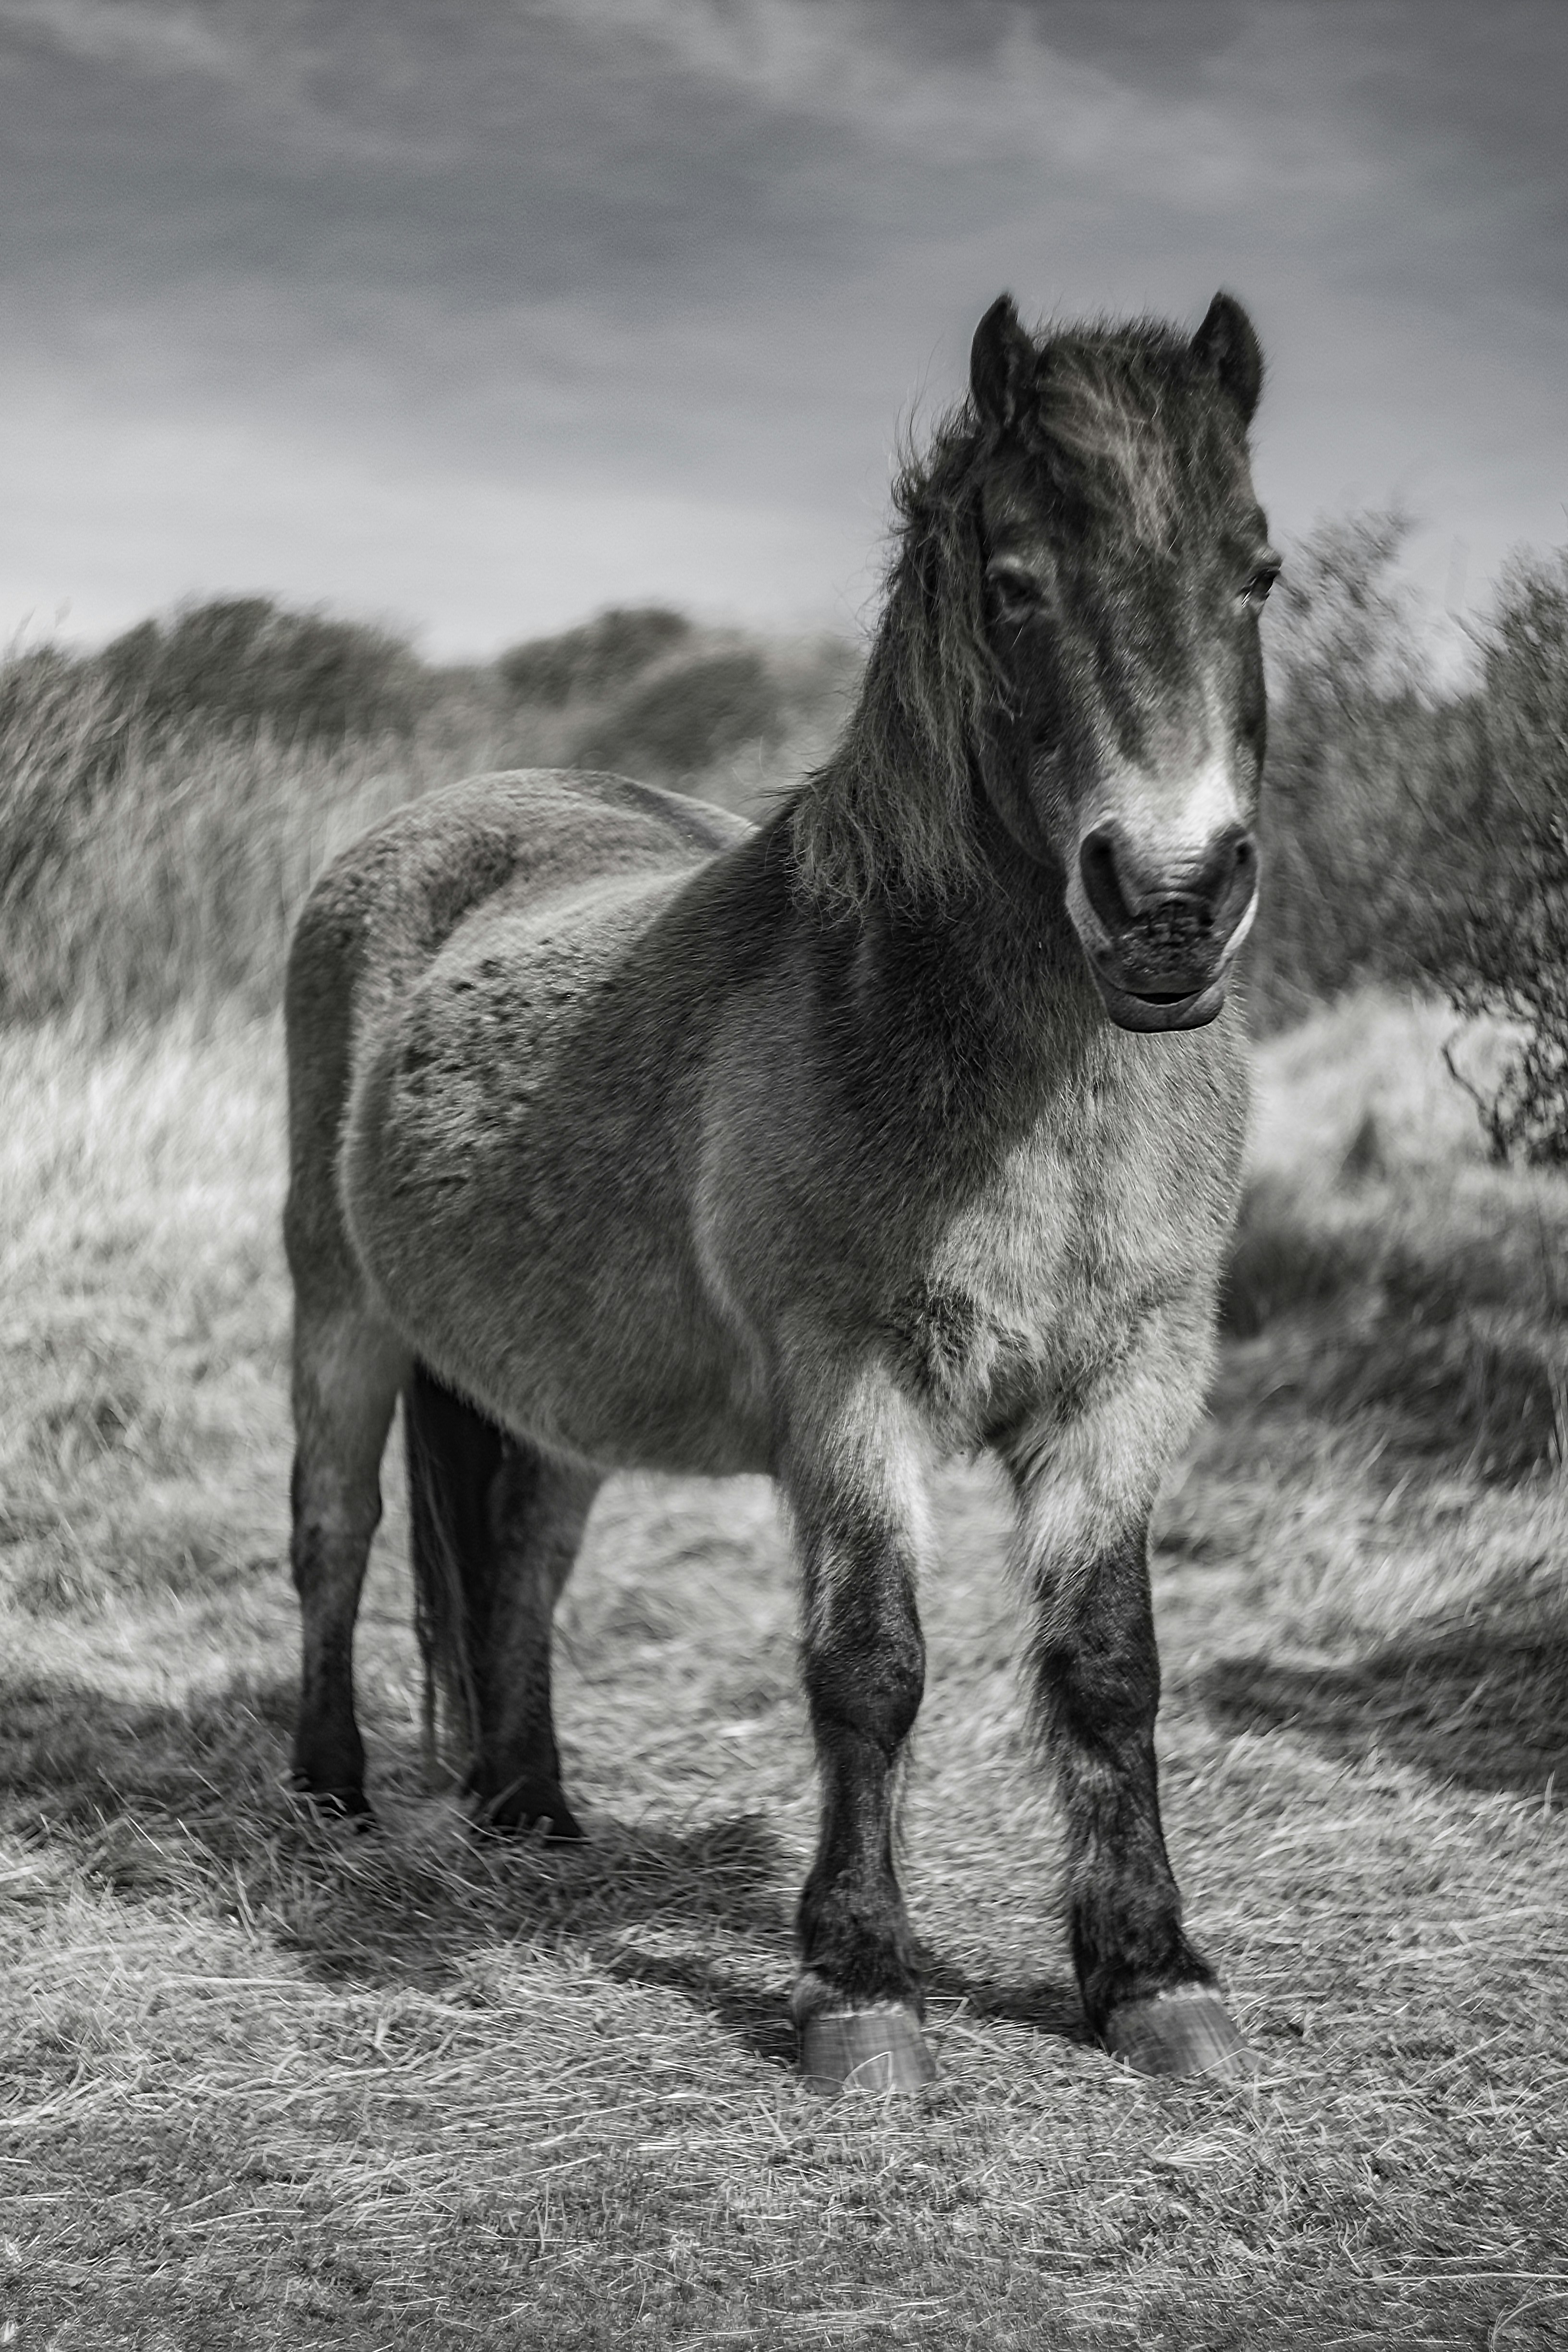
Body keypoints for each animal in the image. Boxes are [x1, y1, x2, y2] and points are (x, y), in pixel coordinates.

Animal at [283, 290, 1279, 2094]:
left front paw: (1148, 1972)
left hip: (546, 1389)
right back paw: (328, 1790)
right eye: (1011, 582)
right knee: (336, 1535)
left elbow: (1109, 1669)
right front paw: (859, 1986)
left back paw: (533, 1808)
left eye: (1257, 571)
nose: (1169, 900)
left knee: (517, 1565)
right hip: (336, 1312)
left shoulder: (1127, 1378)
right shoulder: (847, 1384)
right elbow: (868, 1667)